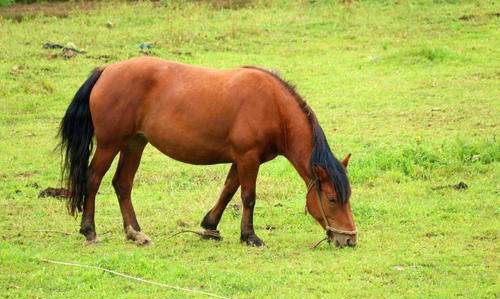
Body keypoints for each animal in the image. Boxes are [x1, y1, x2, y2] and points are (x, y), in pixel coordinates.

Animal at [58, 56, 358, 248]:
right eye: (332, 199)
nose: (349, 239)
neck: (273, 106)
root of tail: (106, 70)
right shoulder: (248, 158)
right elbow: (248, 197)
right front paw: (250, 237)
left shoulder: (242, 159)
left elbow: (227, 191)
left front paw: (210, 226)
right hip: (110, 145)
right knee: (93, 180)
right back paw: (89, 231)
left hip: (134, 144)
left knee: (122, 184)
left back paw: (135, 233)